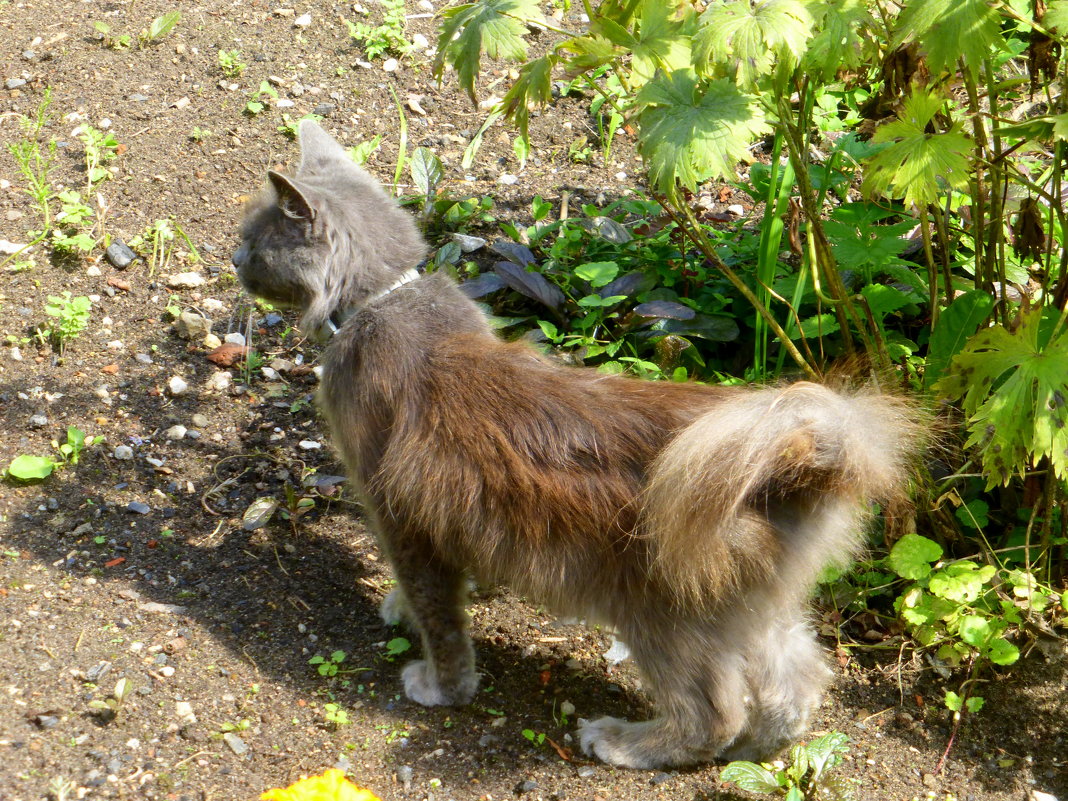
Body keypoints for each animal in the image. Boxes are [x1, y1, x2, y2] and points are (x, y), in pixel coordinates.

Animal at [233, 120, 918, 773]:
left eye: (254, 239)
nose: (234, 257)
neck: (386, 301)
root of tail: (803, 456)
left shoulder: (397, 513)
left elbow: (439, 615)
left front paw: (440, 683)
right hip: (754, 607)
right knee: (797, 684)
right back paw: (752, 753)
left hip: (659, 607)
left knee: (713, 712)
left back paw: (622, 742)